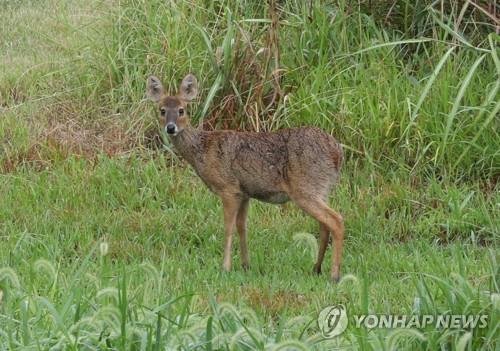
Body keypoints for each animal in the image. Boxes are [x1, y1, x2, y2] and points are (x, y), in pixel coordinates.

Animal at [146, 74, 346, 284]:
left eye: (181, 110)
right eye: (162, 110)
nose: (170, 128)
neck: (203, 150)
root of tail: (337, 153)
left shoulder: (228, 188)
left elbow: (228, 228)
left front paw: (225, 267)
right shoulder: (244, 193)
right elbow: (242, 227)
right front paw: (245, 265)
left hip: (305, 189)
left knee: (336, 220)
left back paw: (334, 275)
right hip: (320, 189)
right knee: (325, 225)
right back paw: (316, 268)